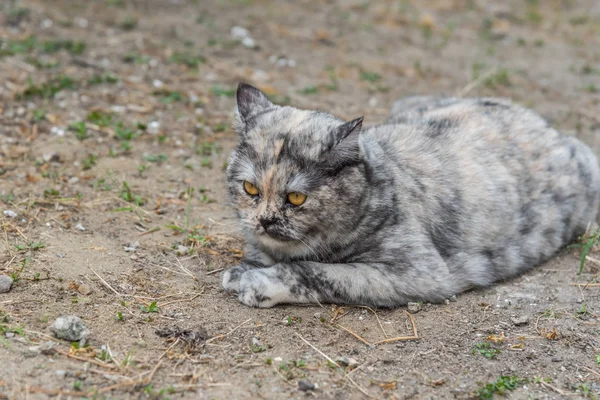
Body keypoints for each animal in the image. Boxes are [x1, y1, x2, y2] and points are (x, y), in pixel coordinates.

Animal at [220, 83, 600, 310]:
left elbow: (316, 272)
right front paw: (246, 268)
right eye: (251, 189)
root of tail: (550, 127)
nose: (266, 220)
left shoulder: (418, 272)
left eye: (296, 198)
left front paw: (259, 282)